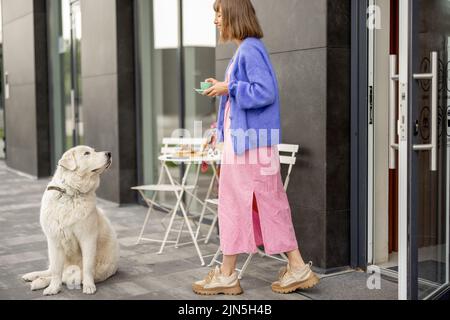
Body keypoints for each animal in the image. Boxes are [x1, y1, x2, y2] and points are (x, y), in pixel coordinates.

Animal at [22, 146, 119, 296]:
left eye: (93, 151)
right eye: (87, 153)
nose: (109, 153)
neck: (70, 193)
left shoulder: (87, 238)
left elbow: (87, 265)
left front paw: (88, 286)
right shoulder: (54, 239)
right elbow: (56, 270)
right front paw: (53, 288)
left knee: (66, 276)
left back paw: (39, 281)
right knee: (52, 270)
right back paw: (33, 276)